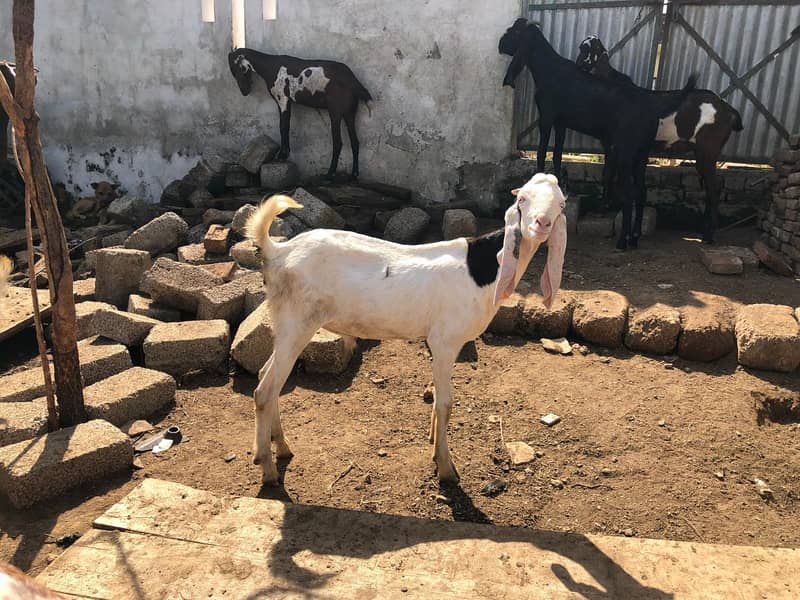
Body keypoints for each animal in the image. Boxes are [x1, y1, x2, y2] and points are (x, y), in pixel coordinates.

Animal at [228, 48, 372, 181]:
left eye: (237, 70)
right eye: (233, 73)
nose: (244, 92)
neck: (270, 66)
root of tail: (353, 81)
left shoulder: (283, 99)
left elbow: (283, 126)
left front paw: (282, 155)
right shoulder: (287, 102)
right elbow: (285, 125)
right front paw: (284, 154)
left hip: (335, 111)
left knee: (338, 142)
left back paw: (330, 174)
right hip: (350, 112)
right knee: (355, 142)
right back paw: (354, 175)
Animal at [245, 173, 568, 484]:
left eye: (561, 204)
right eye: (522, 199)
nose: (541, 224)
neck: (484, 269)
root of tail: (278, 251)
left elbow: (437, 399)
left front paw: (435, 447)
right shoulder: (445, 341)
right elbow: (446, 403)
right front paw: (446, 468)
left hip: (286, 324)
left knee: (266, 377)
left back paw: (281, 447)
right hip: (297, 322)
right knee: (265, 390)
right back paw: (268, 469)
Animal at [499, 19, 696, 250]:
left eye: (515, 31)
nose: (500, 44)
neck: (550, 69)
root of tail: (651, 108)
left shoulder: (546, 119)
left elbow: (541, 153)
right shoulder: (561, 123)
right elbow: (557, 154)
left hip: (625, 153)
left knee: (629, 193)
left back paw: (623, 240)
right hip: (641, 154)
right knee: (642, 191)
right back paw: (635, 237)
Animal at [576, 35, 744, 243]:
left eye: (586, 49)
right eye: (581, 47)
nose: (577, 65)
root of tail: (728, 110)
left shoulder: (612, 145)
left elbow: (607, 174)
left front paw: (602, 208)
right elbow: (611, 174)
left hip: (708, 151)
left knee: (714, 188)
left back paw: (709, 235)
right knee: (709, 187)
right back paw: (703, 229)